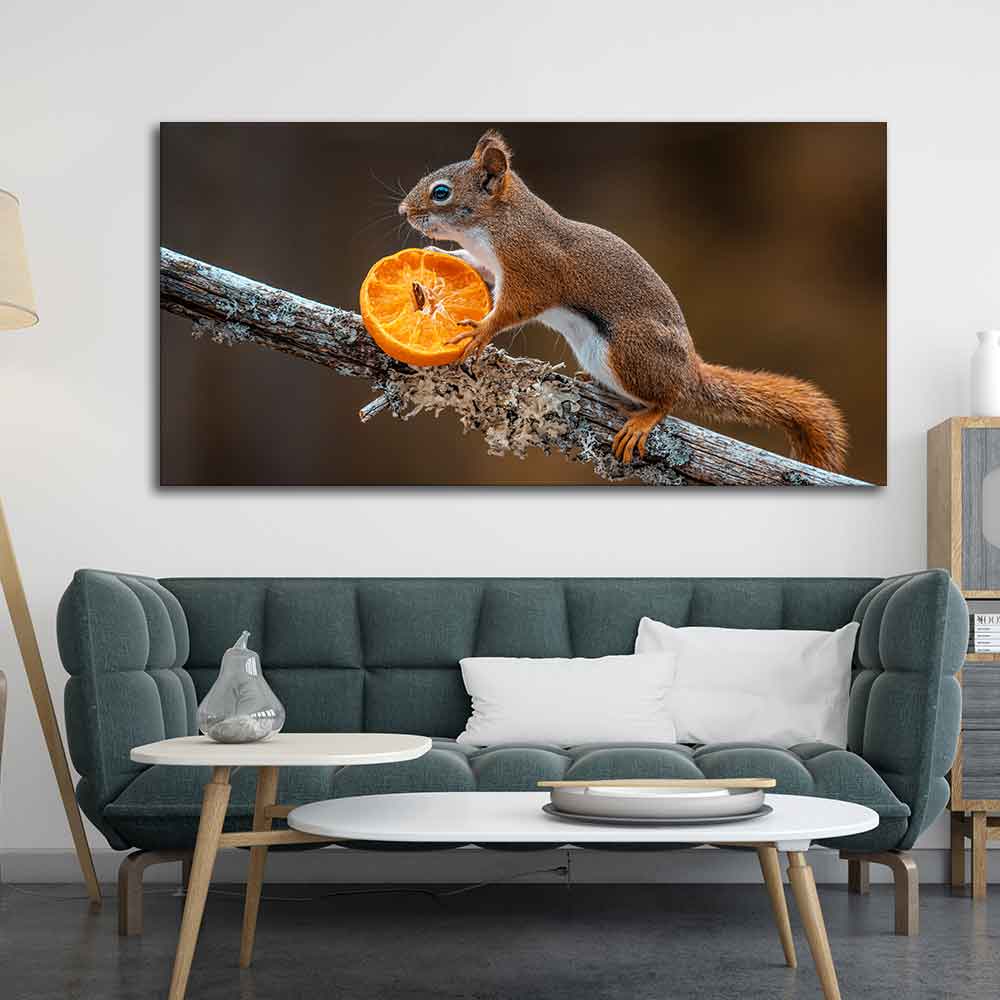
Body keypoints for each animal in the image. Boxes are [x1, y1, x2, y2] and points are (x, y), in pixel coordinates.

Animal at [398, 130, 848, 471]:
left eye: (441, 192)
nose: (403, 210)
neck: (500, 223)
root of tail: (690, 369)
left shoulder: (534, 269)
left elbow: (516, 307)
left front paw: (480, 330)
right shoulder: (494, 264)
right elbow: (477, 267)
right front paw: (443, 256)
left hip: (631, 351)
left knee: (669, 399)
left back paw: (645, 418)